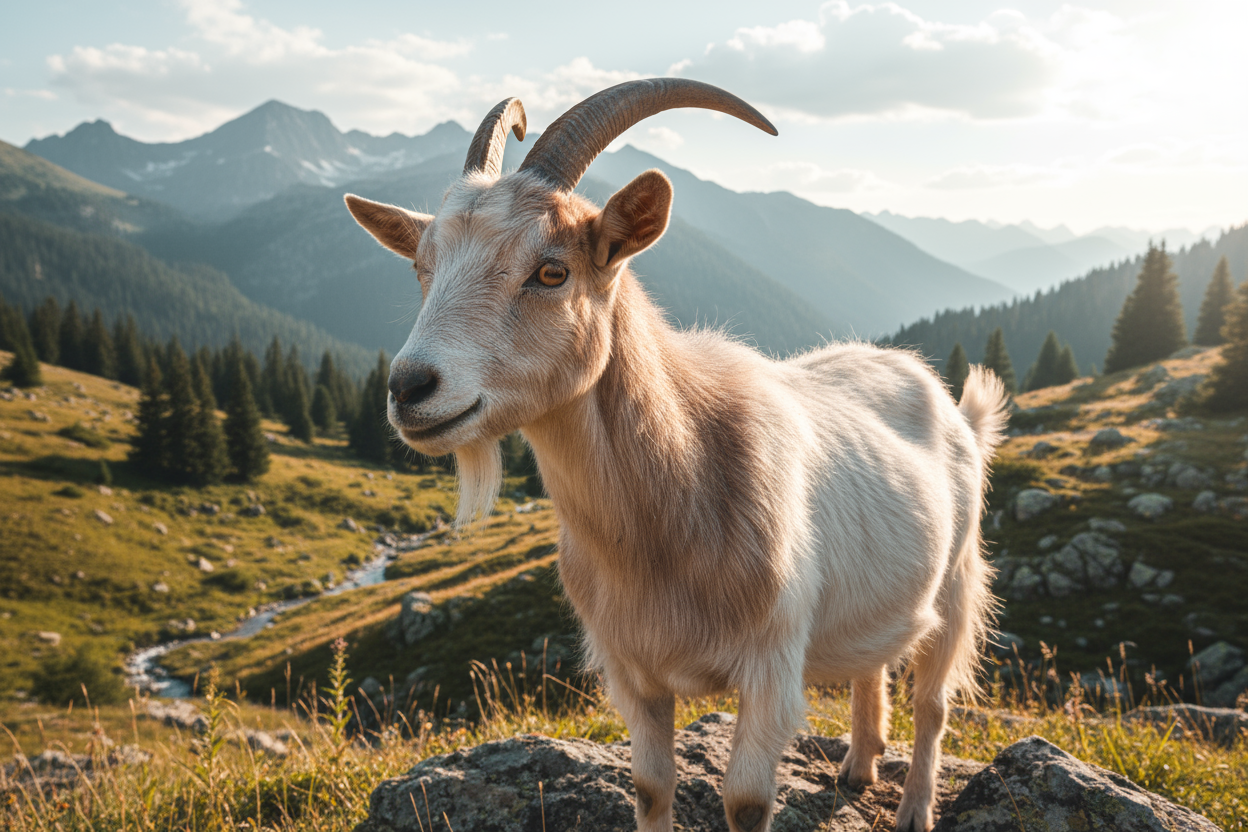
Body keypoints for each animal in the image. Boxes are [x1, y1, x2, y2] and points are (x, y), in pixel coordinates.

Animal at [344, 78, 1008, 832]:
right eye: (422, 270)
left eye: (552, 271)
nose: (409, 388)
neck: (675, 504)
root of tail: (942, 396)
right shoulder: (632, 673)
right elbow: (651, 786)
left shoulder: (772, 666)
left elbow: (745, 802)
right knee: (875, 661)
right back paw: (859, 766)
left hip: (958, 577)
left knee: (934, 702)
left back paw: (914, 806)